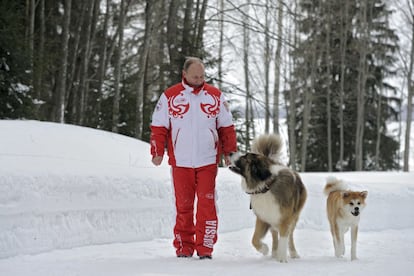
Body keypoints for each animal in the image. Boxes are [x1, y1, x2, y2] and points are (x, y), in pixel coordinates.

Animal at [230, 134, 308, 264]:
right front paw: (265, 250)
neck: (266, 186)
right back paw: (274, 252)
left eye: (245, 157)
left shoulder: (285, 218)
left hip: (294, 215)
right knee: (274, 234)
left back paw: (292, 253)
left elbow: (284, 238)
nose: (230, 152)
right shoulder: (263, 217)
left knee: (290, 235)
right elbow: (254, 238)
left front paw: (282, 258)